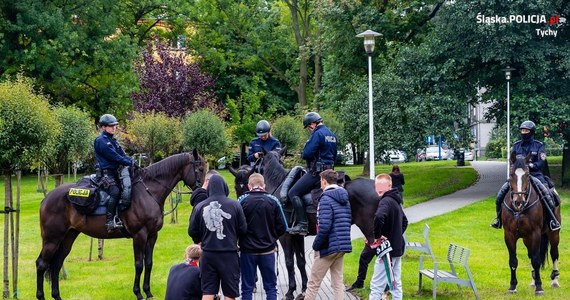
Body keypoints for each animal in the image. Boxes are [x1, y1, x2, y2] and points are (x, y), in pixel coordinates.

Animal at [36, 152, 204, 300]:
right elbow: (139, 264)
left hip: (67, 238)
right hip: (52, 239)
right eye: (200, 169)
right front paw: (138, 293)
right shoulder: (139, 235)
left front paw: (148, 292)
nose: (202, 190)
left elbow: (149, 263)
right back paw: (41, 296)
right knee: (41, 264)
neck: (148, 191)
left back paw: (57, 296)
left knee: (56, 264)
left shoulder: (152, 235)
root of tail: (46, 199)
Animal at [229, 149, 380, 298]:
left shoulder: (285, 236)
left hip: (370, 228)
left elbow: (289, 262)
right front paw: (303, 288)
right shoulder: (297, 235)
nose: (242, 205)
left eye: (243, 185)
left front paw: (290, 291)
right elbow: (301, 261)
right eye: (236, 186)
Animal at [500, 154, 556, 296]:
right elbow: (513, 261)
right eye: (511, 174)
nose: (518, 201)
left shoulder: (535, 234)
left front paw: (539, 288)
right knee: (531, 255)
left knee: (554, 254)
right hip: (527, 239)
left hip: (553, 234)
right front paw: (512, 286)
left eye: (527, 174)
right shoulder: (509, 235)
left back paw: (554, 281)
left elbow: (536, 260)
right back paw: (533, 281)